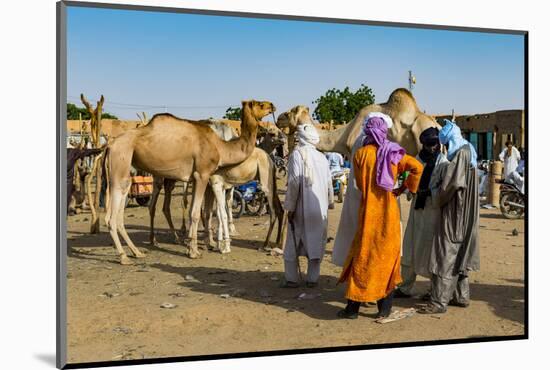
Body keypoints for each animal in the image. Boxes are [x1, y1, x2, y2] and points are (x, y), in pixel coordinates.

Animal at [103, 99, 276, 264]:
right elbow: (196, 213)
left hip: (126, 171)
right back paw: (124, 256)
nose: (272, 105)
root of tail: (109, 145)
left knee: (123, 207)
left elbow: (197, 210)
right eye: (260, 104)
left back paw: (137, 252)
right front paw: (194, 251)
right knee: (113, 215)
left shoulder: (195, 177)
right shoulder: (202, 174)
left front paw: (194, 246)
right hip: (122, 160)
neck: (220, 146)